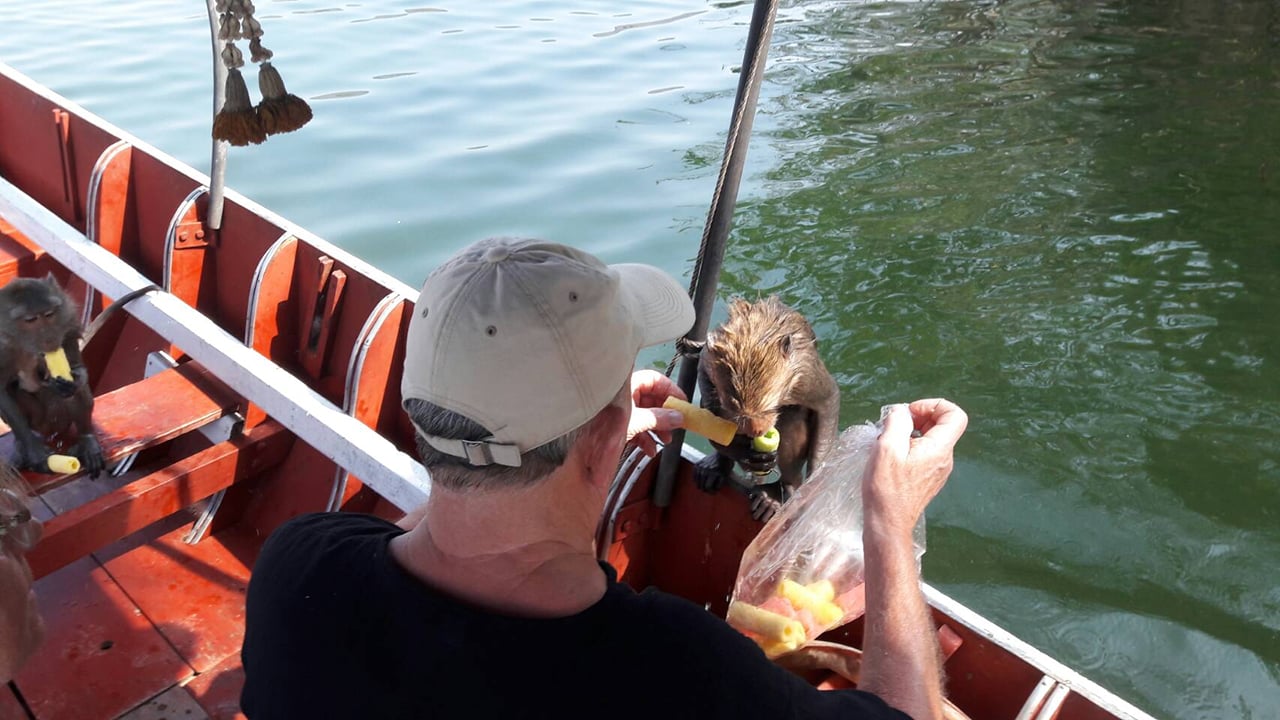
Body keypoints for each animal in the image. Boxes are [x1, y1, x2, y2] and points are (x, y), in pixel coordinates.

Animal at [0, 276, 104, 478]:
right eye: (31, 319)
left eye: (49, 314)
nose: (49, 338)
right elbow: (1, 390)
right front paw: (33, 449)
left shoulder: (68, 320)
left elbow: (75, 362)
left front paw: (77, 377)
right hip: (39, 422)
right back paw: (23, 445)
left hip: (61, 419)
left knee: (75, 394)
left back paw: (87, 439)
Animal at [693, 296, 839, 521]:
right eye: (737, 410)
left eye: (767, 407)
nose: (756, 430)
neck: (757, 335)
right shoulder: (712, 353)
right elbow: (705, 383)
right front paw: (746, 454)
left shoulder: (805, 376)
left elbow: (828, 401)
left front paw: (813, 486)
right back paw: (717, 466)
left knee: (792, 419)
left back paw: (776, 494)